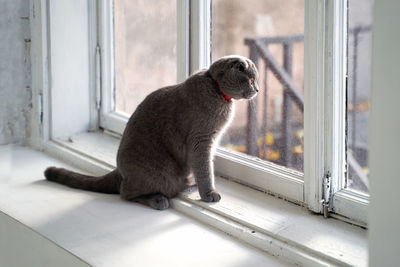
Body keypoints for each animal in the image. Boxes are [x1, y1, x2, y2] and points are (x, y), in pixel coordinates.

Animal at [44, 55, 260, 210]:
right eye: (250, 79)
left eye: (256, 81)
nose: (257, 89)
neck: (217, 91)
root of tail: (119, 171)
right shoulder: (202, 140)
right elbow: (205, 169)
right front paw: (209, 194)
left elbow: (205, 167)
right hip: (160, 175)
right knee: (126, 193)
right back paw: (159, 200)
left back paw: (188, 185)